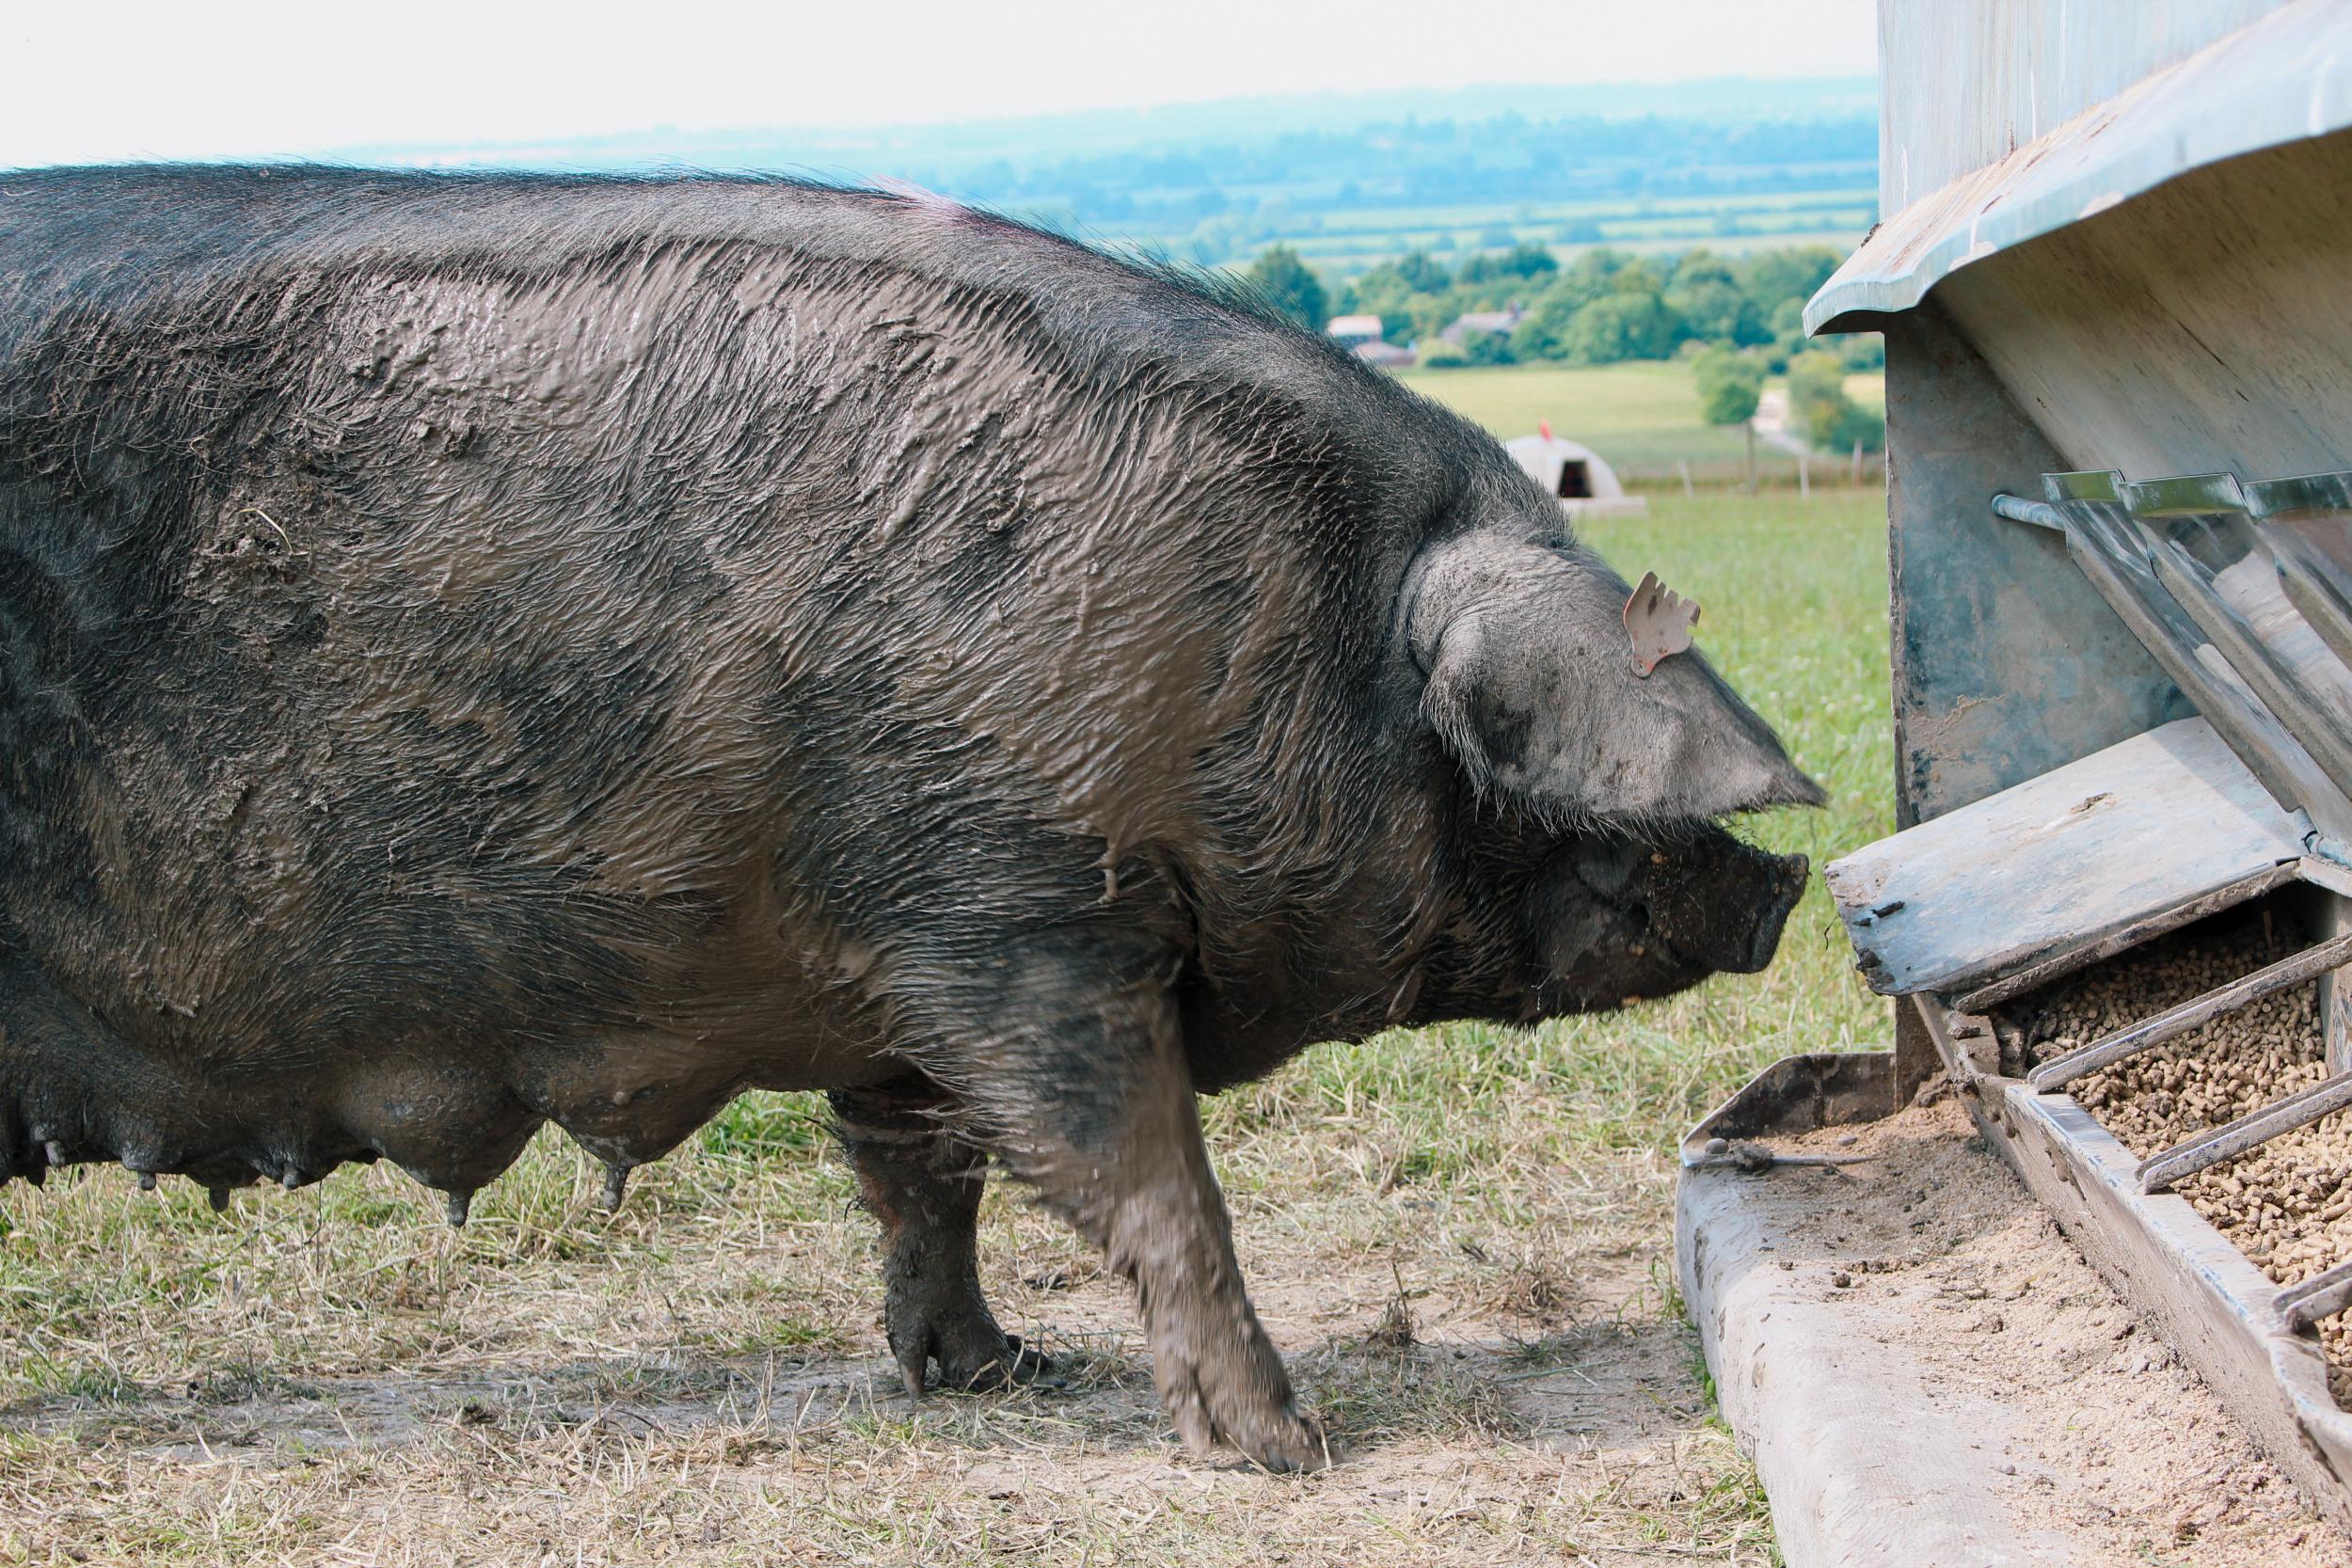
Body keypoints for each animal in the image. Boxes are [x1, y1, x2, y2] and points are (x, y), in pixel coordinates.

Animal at [0, 168, 1816, 1476]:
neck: (1281, 637)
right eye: (1572, 794)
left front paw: (997, 1374)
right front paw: (1289, 1449)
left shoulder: (892, 962)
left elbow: (923, 1176)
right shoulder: (1013, 913)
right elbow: (1142, 1175)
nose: (1789, 882)